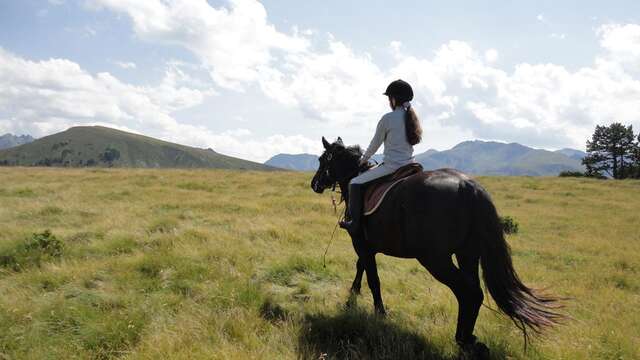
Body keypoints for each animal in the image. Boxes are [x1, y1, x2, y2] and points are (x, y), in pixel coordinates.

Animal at [310, 137, 560, 358]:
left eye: (323, 159)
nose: (315, 184)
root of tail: (469, 187)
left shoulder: (360, 242)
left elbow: (373, 278)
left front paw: (378, 312)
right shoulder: (368, 246)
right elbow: (361, 267)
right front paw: (353, 295)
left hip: (436, 260)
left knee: (468, 292)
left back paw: (463, 340)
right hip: (467, 254)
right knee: (473, 292)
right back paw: (469, 340)